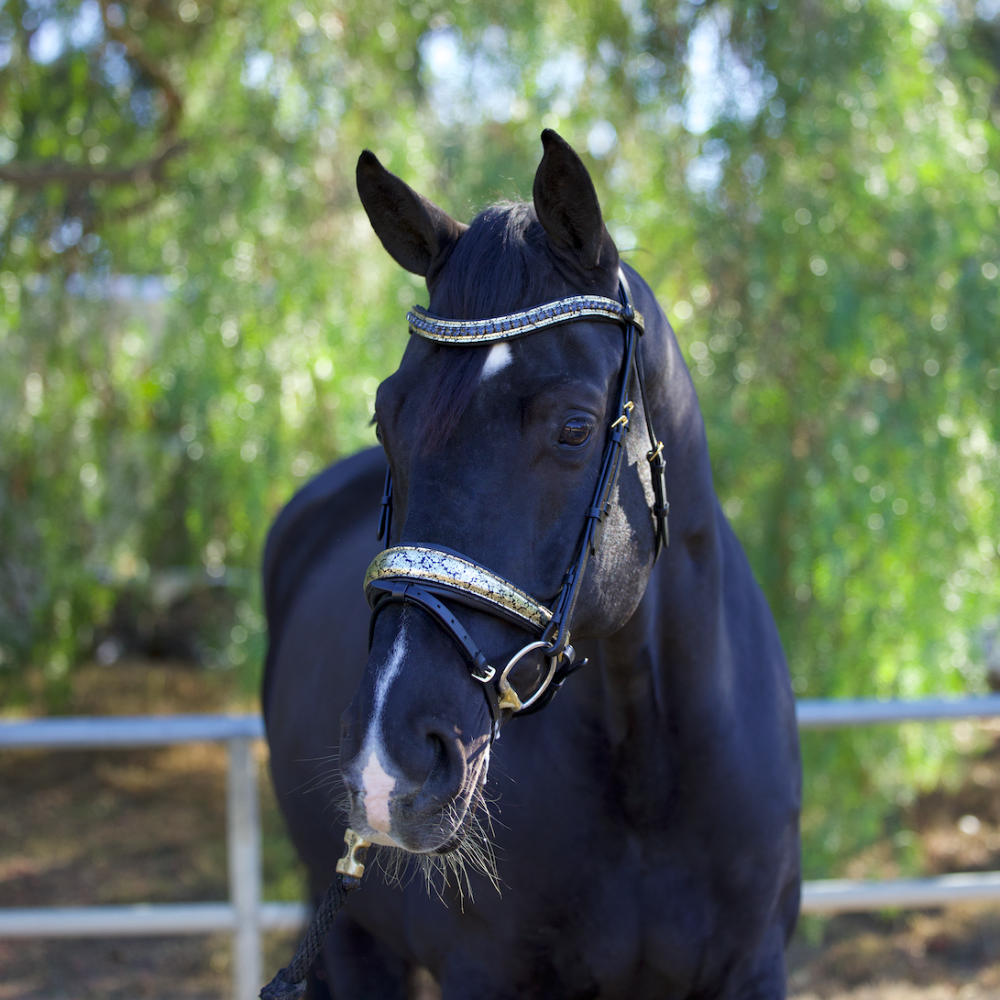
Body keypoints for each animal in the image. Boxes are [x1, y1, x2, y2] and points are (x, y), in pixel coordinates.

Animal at [262, 135, 800, 1000]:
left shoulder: (755, 968)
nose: (389, 763)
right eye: (385, 417)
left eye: (575, 428)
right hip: (349, 937)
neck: (648, 771)